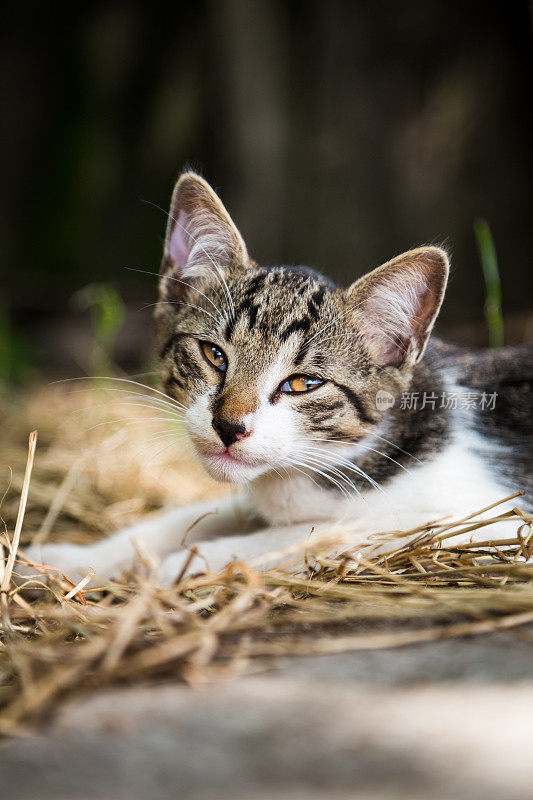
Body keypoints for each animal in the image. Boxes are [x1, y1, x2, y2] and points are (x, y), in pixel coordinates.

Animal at [26, 172, 532, 584]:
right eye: (214, 355)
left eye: (302, 384)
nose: (229, 427)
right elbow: (194, 514)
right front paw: (72, 558)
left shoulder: (491, 517)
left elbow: (343, 530)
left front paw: (191, 561)